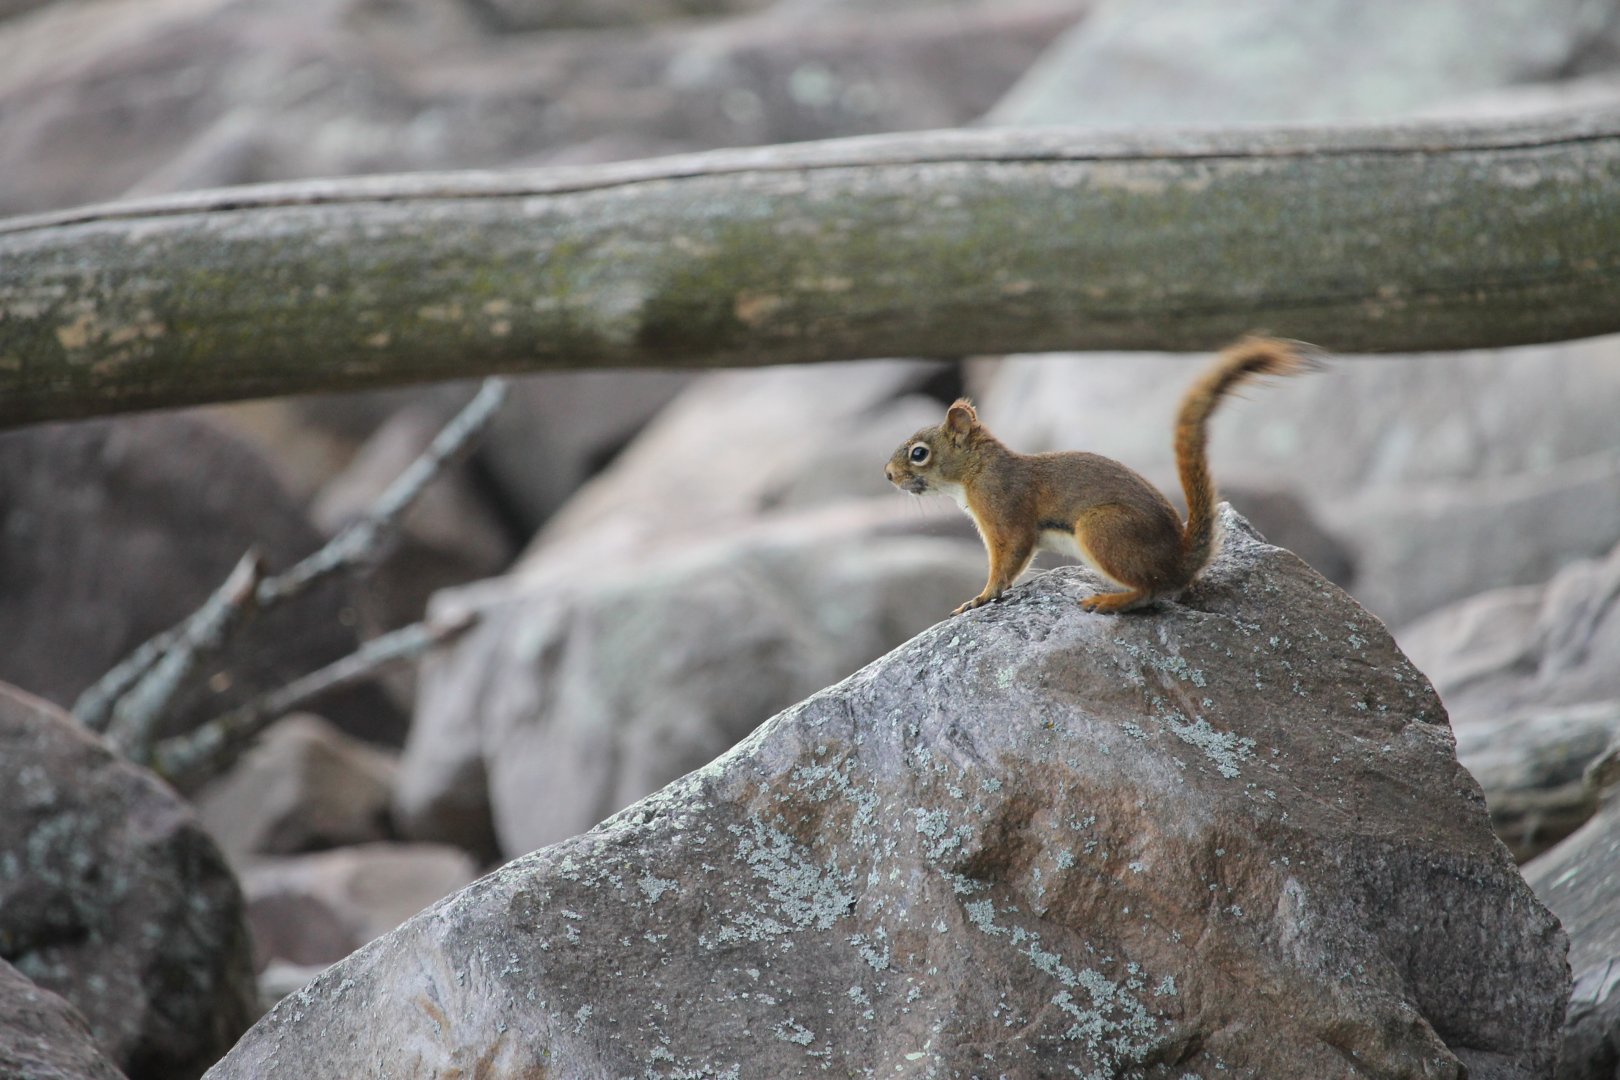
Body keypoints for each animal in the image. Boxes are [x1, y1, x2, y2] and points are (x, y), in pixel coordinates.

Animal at [884, 336, 1309, 616]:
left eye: (919, 453)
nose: (887, 475)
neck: (978, 471)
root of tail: (1180, 560)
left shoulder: (1004, 512)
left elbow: (1007, 562)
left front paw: (982, 597)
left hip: (1101, 529)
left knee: (1149, 591)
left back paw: (1107, 600)